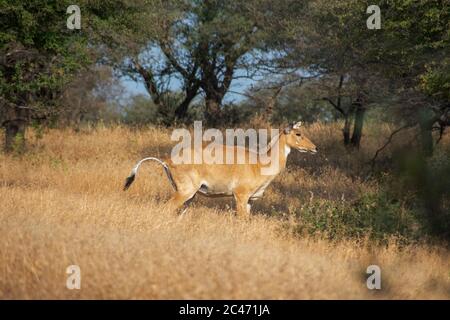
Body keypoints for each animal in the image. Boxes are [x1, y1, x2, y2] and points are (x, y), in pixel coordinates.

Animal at [123, 122, 316, 218]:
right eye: (298, 134)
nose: (314, 148)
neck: (260, 163)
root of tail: (167, 160)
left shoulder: (250, 201)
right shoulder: (240, 196)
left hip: (189, 196)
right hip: (185, 192)